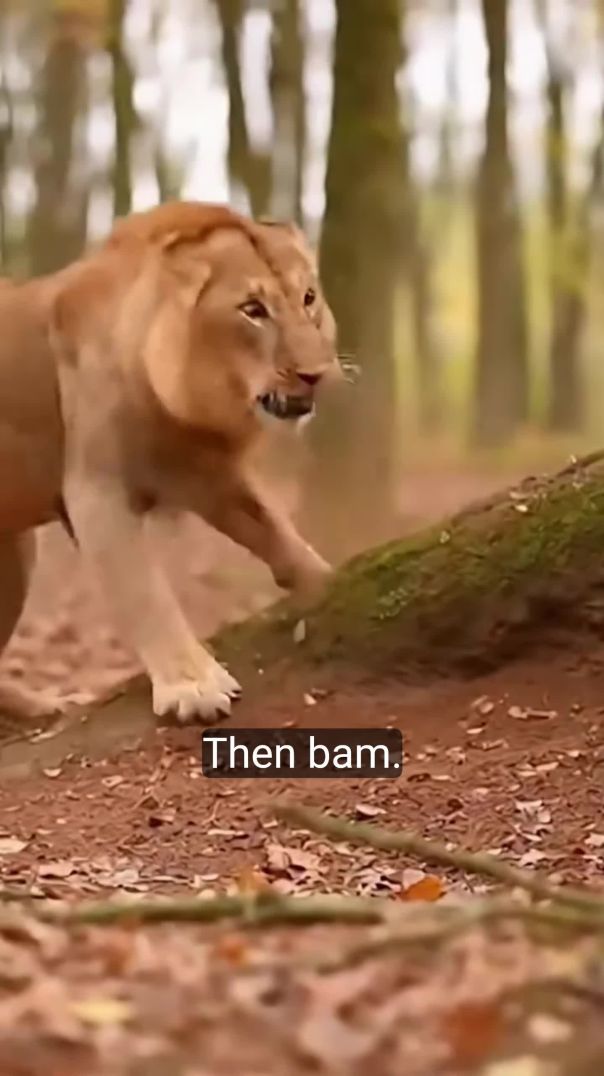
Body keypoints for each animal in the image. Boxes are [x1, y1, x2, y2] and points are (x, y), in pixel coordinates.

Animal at [0, 201, 341, 722]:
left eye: (308, 298)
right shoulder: (96, 491)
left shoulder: (210, 473)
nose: (316, 375)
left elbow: (280, 535)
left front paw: (335, 580)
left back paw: (45, 706)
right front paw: (193, 687)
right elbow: (145, 593)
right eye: (253, 310)